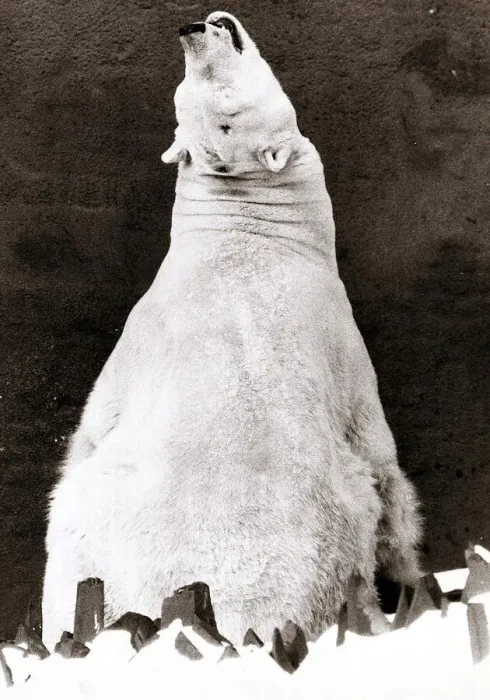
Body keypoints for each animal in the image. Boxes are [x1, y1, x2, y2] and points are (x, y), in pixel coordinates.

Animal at [42, 11, 422, 647]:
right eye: (182, 95)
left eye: (224, 106)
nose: (195, 28)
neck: (243, 227)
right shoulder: (339, 340)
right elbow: (380, 461)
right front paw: (412, 574)